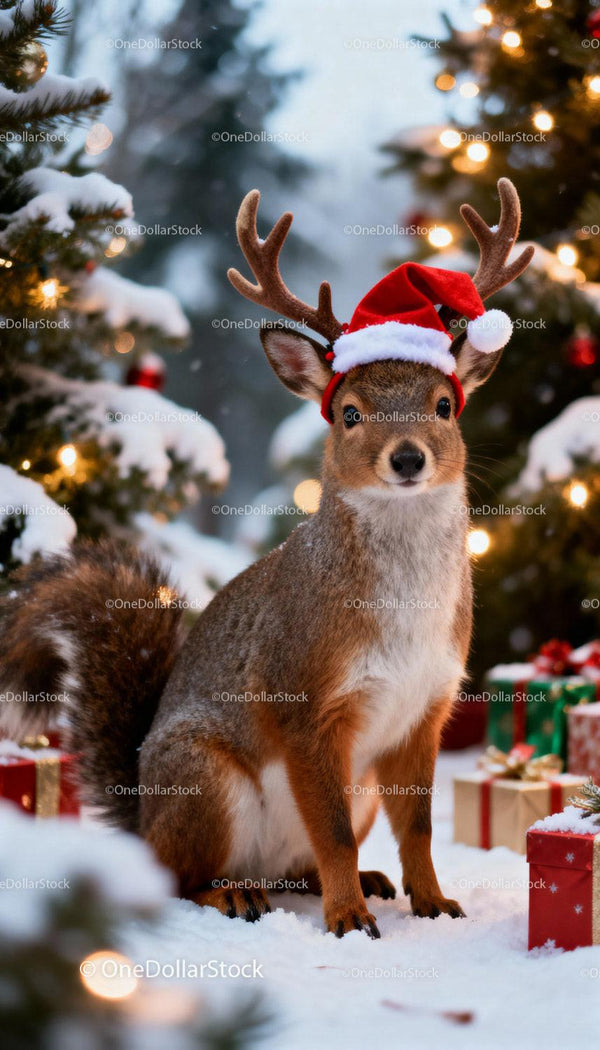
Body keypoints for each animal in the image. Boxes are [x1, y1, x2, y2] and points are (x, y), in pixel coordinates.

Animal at [0, 178, 533, 939]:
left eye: (444, 406)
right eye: (348, 412)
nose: (407, 458)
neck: (406, 589)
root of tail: (143, 820)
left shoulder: (425, 711)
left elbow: (420, 827)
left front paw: (433, 902)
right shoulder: (305, 702)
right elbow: (331, 829)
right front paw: (349, 922)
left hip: (353, 788)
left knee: (296, 864)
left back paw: (353, 883)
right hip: (205, 783)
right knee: (181, 878)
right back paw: (240, 895)